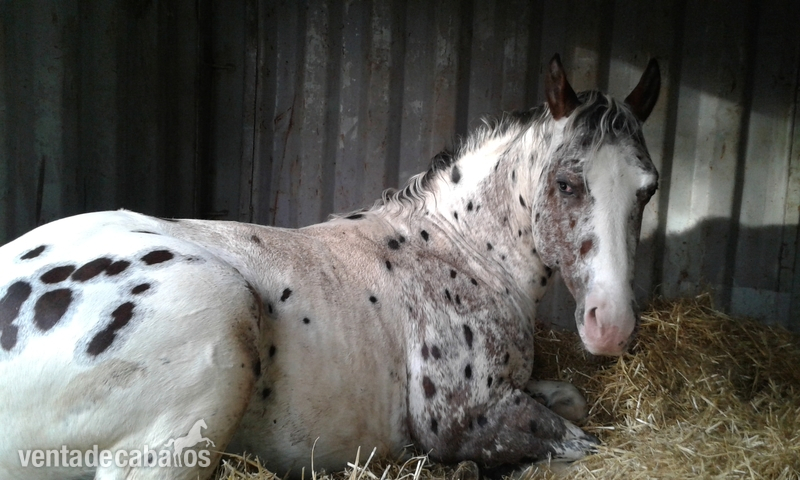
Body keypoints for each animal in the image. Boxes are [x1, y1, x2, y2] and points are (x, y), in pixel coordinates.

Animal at [0, 54, 660, 479]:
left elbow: (570, 398)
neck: (463, 252)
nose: (612, 326)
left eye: (649, 189)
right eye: (568, 183)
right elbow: (577, 441)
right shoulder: (463, 420)